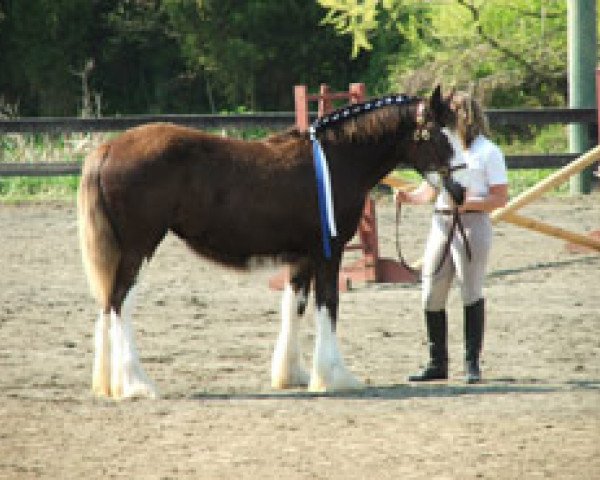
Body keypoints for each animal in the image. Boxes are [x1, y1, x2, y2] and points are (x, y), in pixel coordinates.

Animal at [78, 85, 464, 398]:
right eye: (437, 134)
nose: (460, 191)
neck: (336, 160)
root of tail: (108, 147)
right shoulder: (328, 253)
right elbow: (328, 304)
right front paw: (335, 377)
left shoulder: (303, 257)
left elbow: (295, 306)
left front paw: (293, 375)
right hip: (138, 249)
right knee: (120, 303)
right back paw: (137, 385)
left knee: (107, 305)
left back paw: (112, 384)